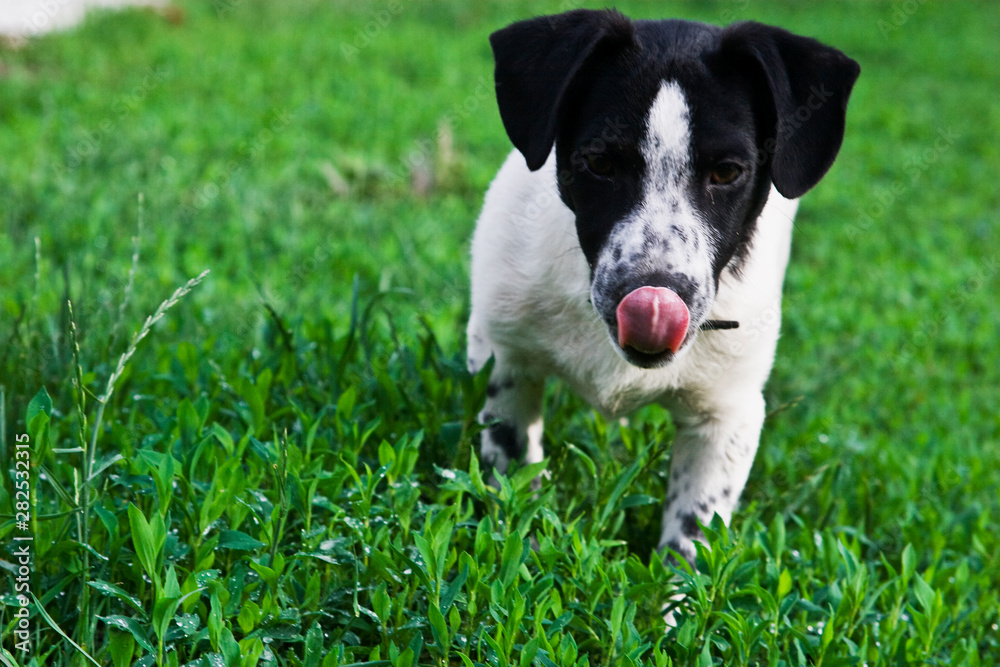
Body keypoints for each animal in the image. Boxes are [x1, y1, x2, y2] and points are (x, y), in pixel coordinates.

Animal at [468, 7, 860, 568]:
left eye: (727, 172)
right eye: (599, 163)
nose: (653, 299)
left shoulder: (727, 414)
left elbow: (692, 535)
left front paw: (675, 592)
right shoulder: (510, 362)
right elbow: (515, 472)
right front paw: (528, 544)